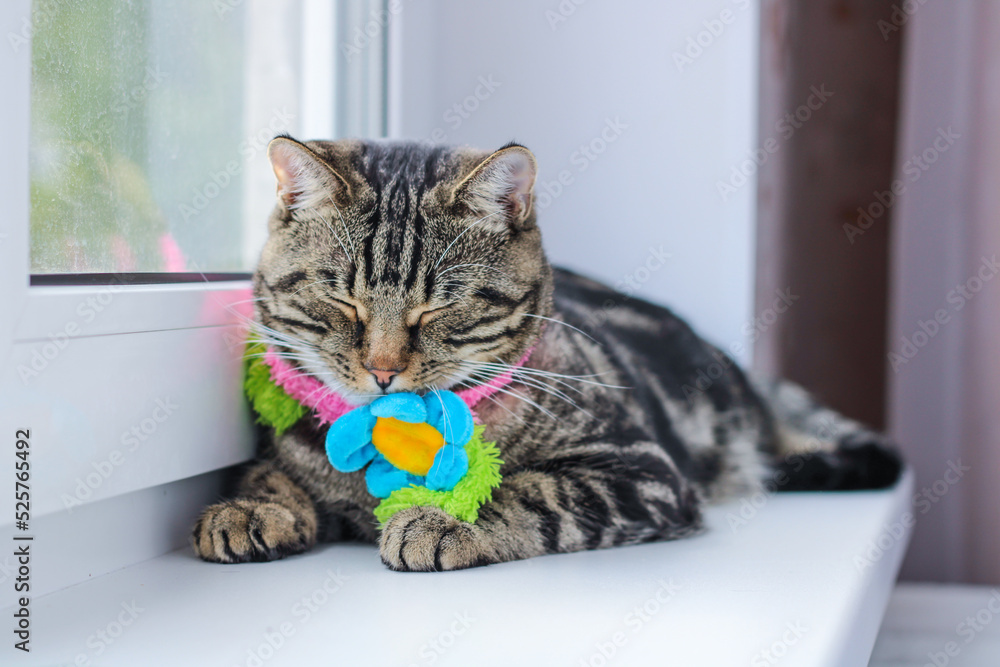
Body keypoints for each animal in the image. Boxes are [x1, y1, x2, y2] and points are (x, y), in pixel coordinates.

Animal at [191, 137, 904, 576]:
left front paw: (441, 519)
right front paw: (249, 507)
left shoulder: (639, 469)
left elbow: (529, 490)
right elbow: (271, 473)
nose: (383, 370)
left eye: (438, 308)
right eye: (342, 301)